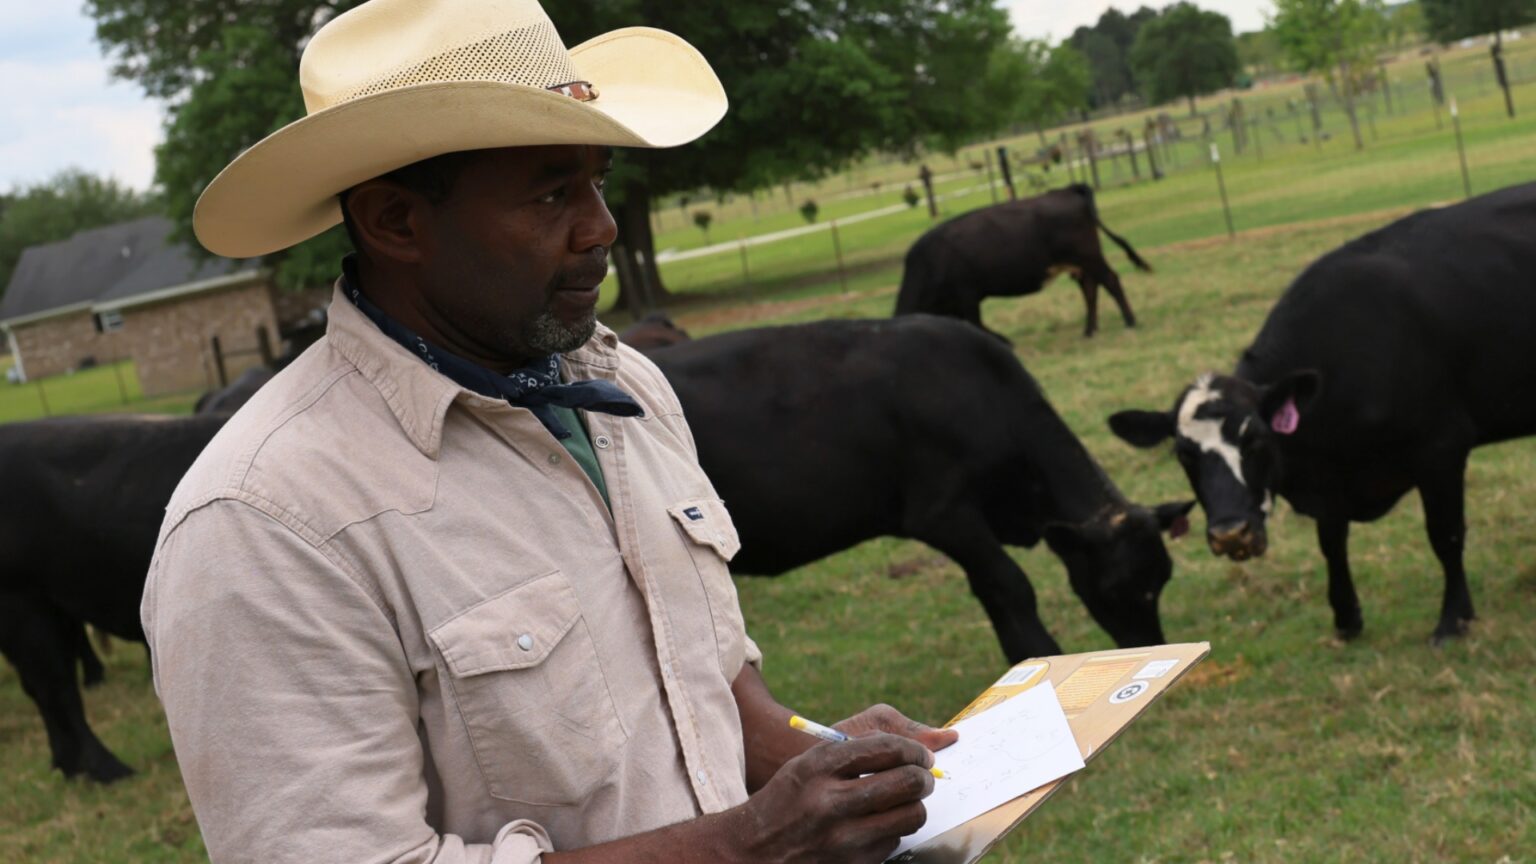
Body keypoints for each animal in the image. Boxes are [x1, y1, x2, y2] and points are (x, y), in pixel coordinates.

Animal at [654, 316, 1191, 657]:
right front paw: (1042, 653)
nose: (1153, 648)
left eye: (1163, 579)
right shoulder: (942, 513)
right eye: (1116, 588)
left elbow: (990, 589)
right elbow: (1011, 585)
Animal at [890, 182, 1155, 338]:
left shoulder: (967, 294)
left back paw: (1130, 321)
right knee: (1090, 288)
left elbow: (976, 323)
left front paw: (1002, 340)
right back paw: (1089, 330)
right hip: (1080, 264)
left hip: (1089, 257)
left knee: (1110, 280)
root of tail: (1065, 190)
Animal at [1112, 179, 1536, 639]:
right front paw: (1346, 619)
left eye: (1254, 439)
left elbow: (1446, 535)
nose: (1230, 534)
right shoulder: (1329, 483)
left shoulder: (1441, 447)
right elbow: (1331, 544)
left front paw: (1454, 618)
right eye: (1183, 455)